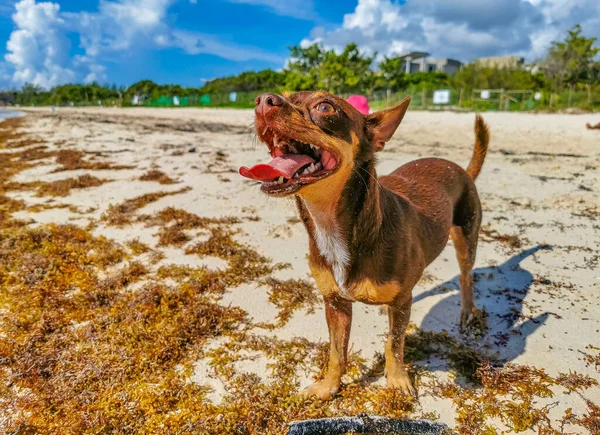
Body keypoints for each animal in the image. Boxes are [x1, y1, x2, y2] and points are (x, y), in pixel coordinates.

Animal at [239, 90, 488, 400]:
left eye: (325, 107)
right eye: (283, 95)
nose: (263, 100)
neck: (333, 228)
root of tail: (461, 169)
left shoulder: (399, 303)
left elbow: (394, 345)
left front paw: (397, 381)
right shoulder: (336, 304)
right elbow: (337, 353)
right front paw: (329, 387)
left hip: (466, 239)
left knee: (466, 277)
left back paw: (467, 312)